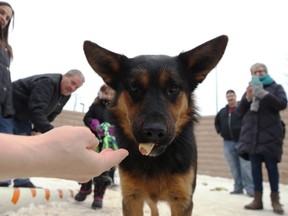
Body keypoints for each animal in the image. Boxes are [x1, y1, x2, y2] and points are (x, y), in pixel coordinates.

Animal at [82, 35, 227, 216]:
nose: (154, 131)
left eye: (173, 87)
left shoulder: (182, 200)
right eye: (134, 87)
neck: (155, 160)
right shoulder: (132, 197)